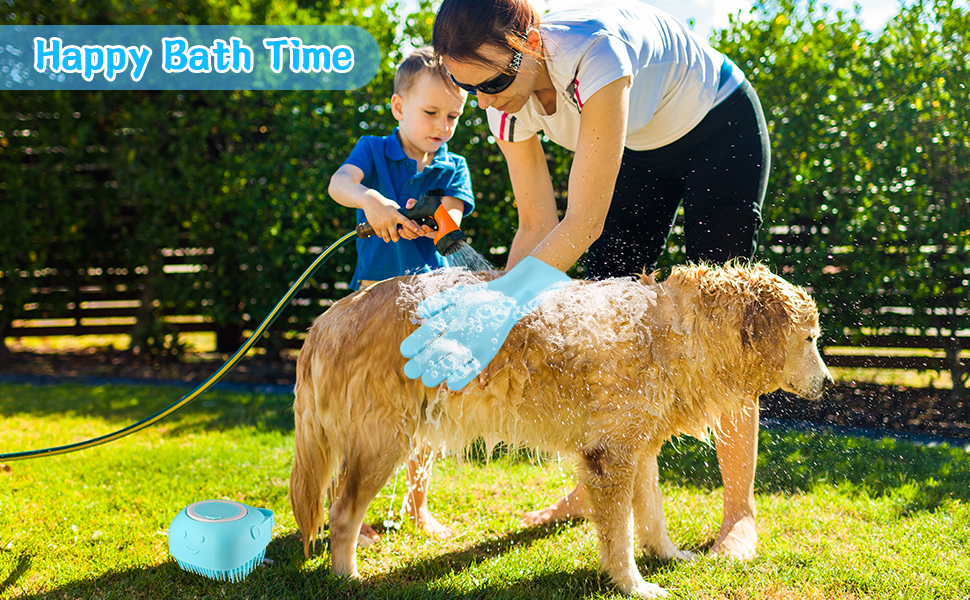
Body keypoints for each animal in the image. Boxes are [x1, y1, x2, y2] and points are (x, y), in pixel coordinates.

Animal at [290, 264, 832, 600]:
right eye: (810, 339)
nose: (829, 383)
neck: (678, 334)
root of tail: (329, 316)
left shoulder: (637, 451)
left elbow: (651, 516)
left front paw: (668, 556)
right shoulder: (610, 458)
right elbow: (620, 536)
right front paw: (633, 585)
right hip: (384, 443)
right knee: (341, 513)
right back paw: (349, 578)